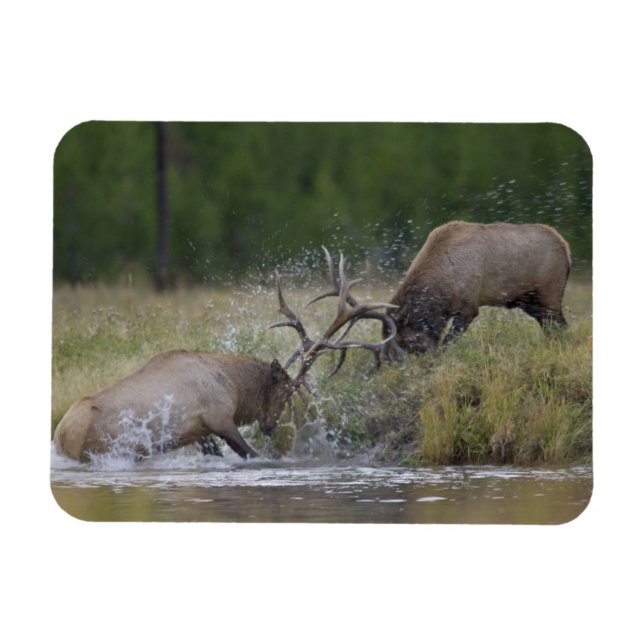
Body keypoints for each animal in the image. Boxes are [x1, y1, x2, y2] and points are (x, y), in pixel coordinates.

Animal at [52, 249, 400, 462]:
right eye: (287, 392)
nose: (270, 426)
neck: (234, 383)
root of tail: (61, 436)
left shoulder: (199, 434)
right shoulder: (219, 417)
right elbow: (252, 455)